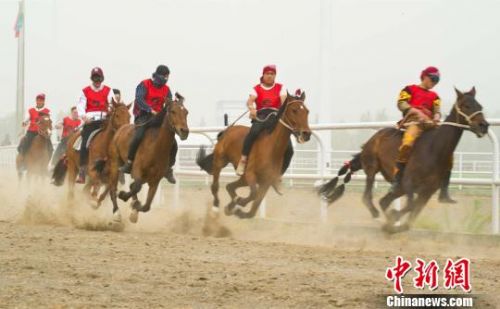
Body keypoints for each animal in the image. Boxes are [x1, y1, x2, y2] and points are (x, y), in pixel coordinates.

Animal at [106, 92, 188, 223]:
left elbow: (146, 206)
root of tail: (120, 129)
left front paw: (134, 209)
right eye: (173, 111)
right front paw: (124, 196)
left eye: (186, 112)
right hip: (114, 164)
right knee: (113, 188)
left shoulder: (155, 180)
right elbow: (136, 187)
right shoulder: (136, 170)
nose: (184, 131)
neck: (156, 147)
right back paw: (117, 213)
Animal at [320, 86, 488, 231]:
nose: (483, 125)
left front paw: (394, 223)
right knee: (367, 196)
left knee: (383, 201)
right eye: (466, 105)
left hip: (398, 188)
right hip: (372, 167)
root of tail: (372, 139)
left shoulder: (428, 191)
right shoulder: (408, 183)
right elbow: (411, 206)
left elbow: (411, 216)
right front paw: (393, 218)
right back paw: (377, 216)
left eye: (480, 105)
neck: (433, 149)